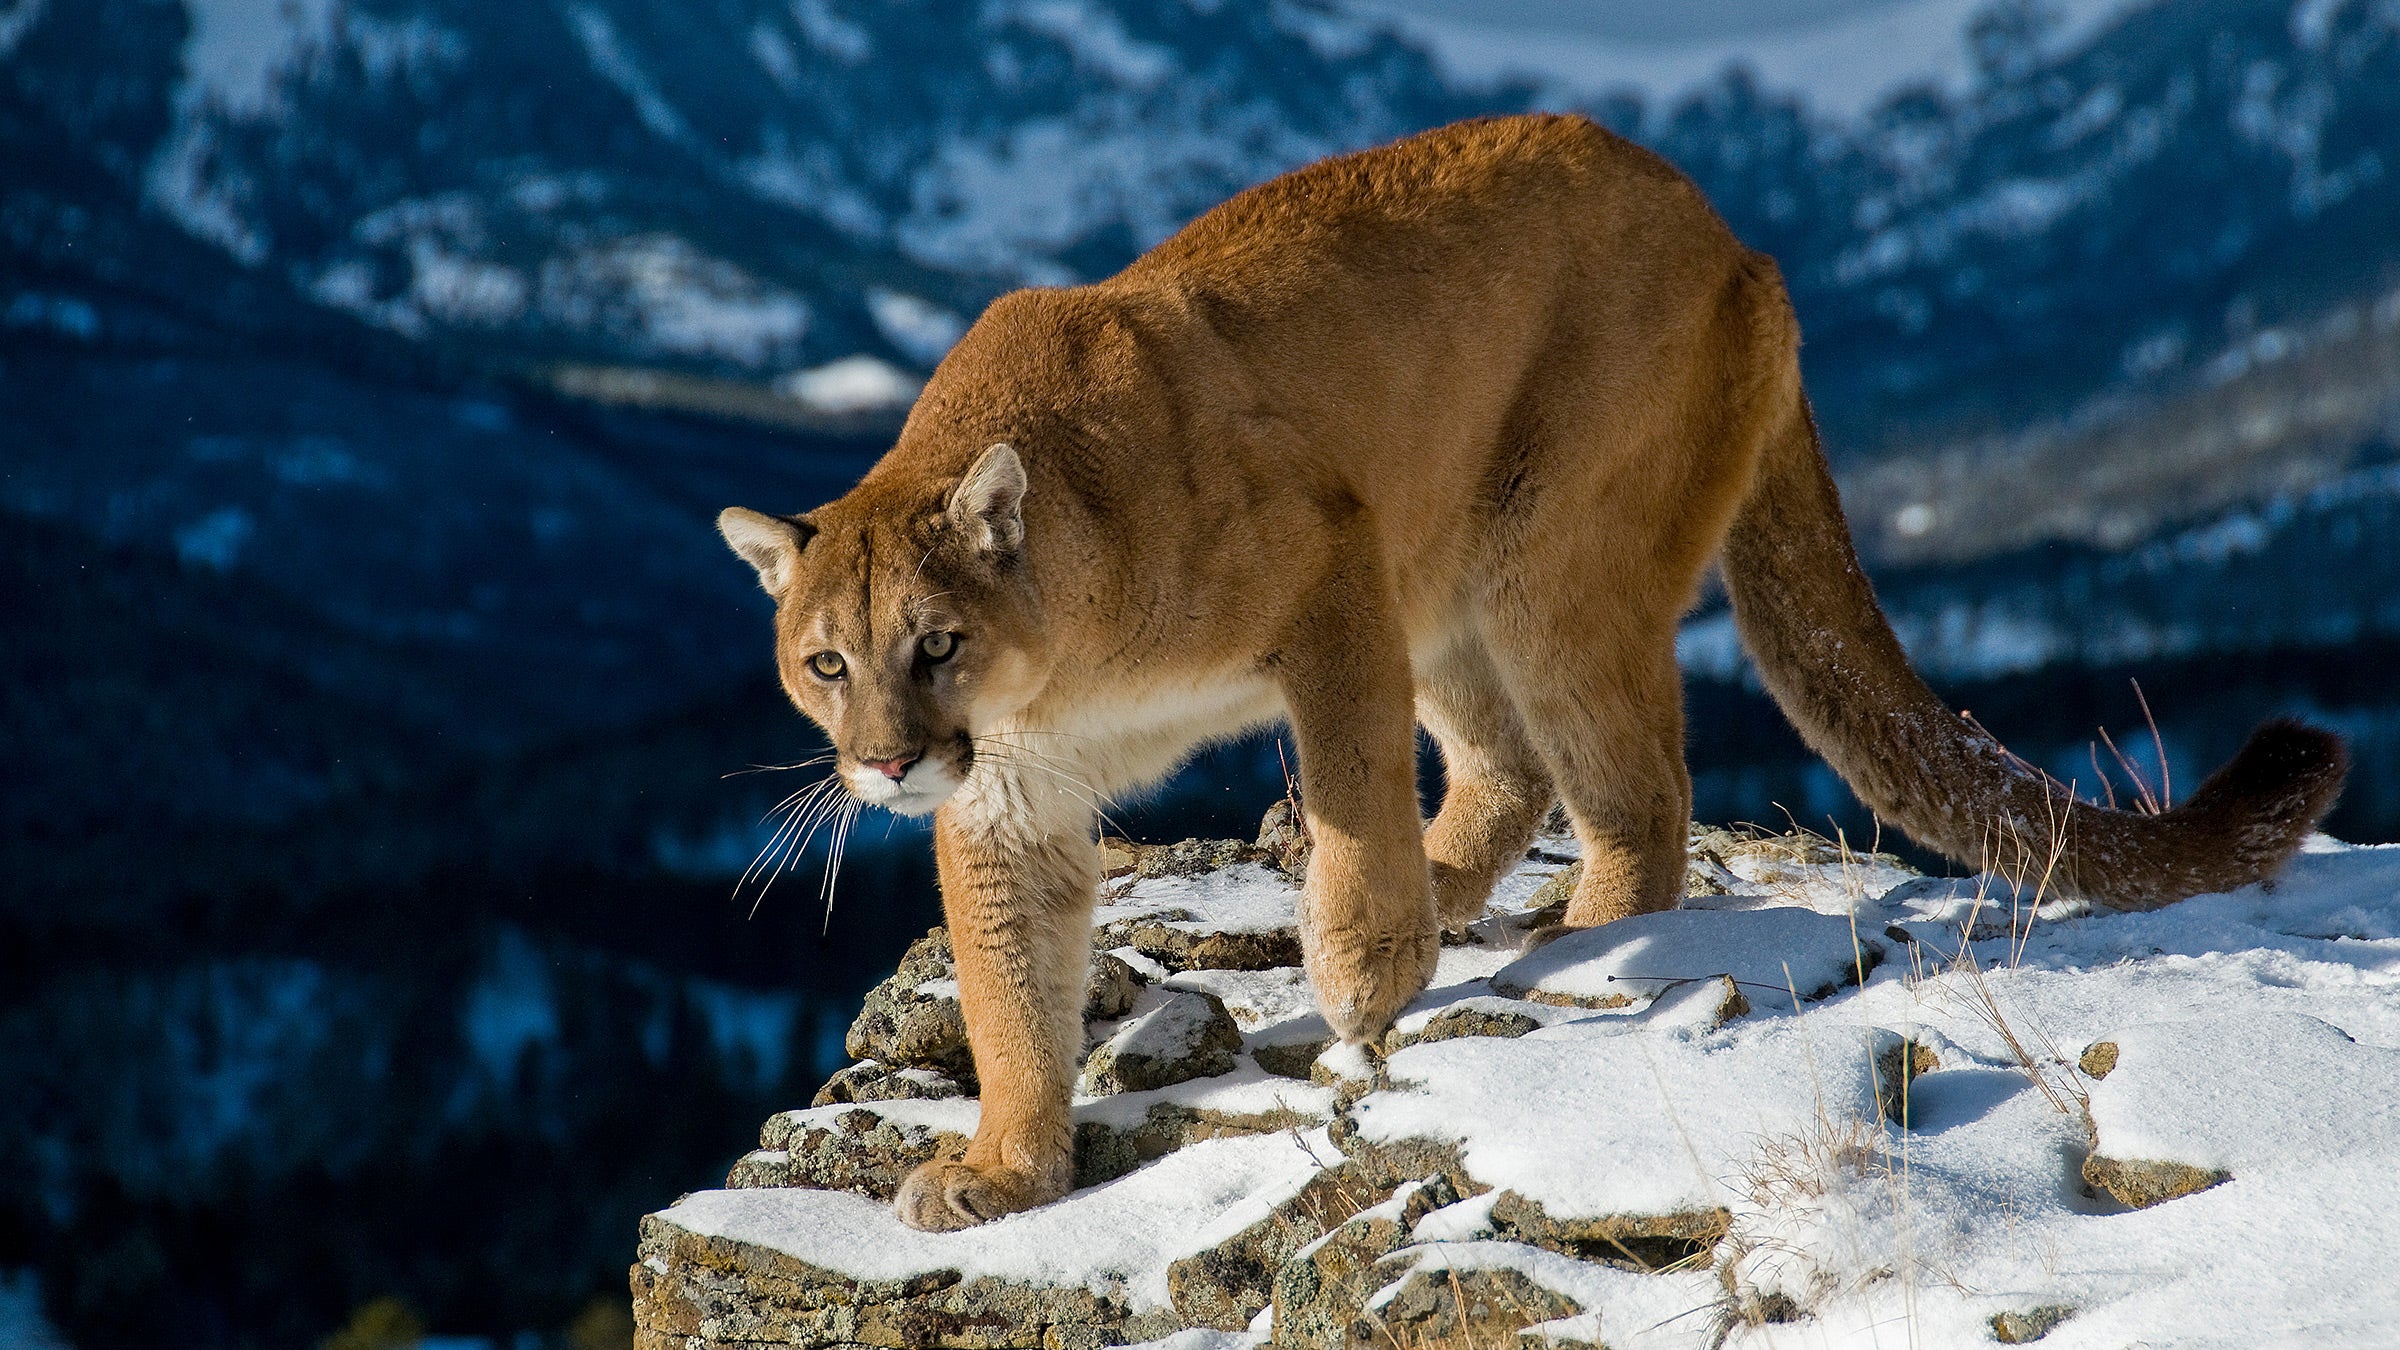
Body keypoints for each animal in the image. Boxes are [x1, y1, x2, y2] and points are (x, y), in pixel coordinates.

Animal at [715, 114, 2346, 1231]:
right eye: (825, 661)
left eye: (936, 642)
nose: (885, 760)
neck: (1056, 663)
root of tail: (1738, 239)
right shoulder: (1013, 796)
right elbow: (1006, 988)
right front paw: (1005, 1165)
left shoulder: (1332, 566)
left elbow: (1352, 774)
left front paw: (1362, 973)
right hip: (1454, 577)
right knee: (1510, 764)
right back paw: (1461, 895)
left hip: (1543, 555)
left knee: (1633, 785)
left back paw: (1579, 933)